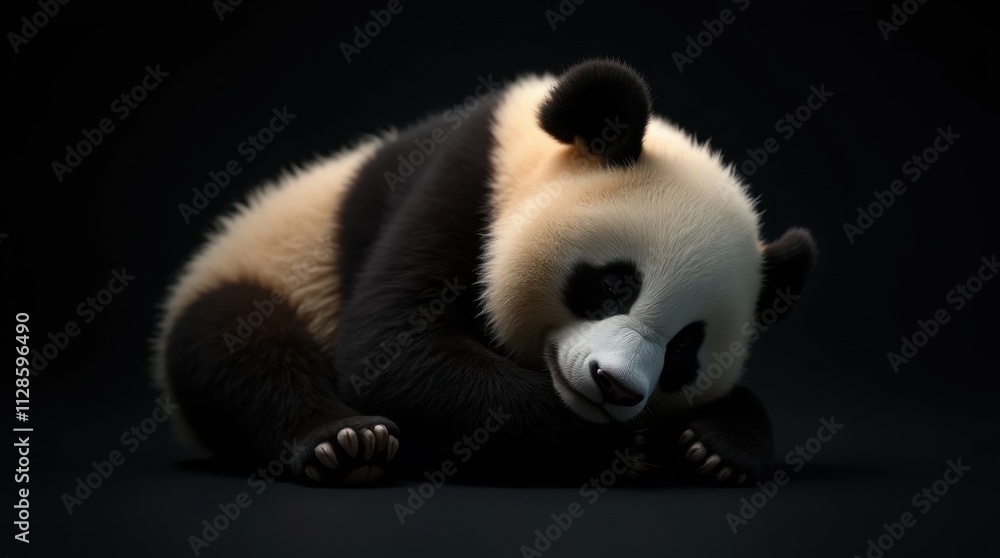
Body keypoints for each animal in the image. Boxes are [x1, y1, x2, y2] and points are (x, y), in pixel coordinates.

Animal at [154, 59, 816, 487]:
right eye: (614, 285)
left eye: (683, 349)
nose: (616, 387)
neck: (528, 154)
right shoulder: (457, 185)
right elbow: (394, 352)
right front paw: (635, 446)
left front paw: (717, 446)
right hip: (265, 275)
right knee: (244, 351)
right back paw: (345, 442)